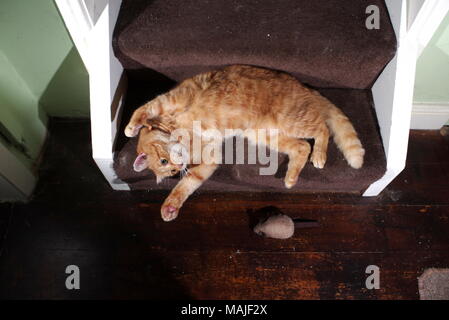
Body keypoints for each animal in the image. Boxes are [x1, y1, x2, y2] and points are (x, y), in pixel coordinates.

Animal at [123, 65, 364, 220]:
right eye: (170, 171)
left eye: (164, 162)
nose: (178, 166)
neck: (185, 138)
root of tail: (305, 87)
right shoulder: (209, 160)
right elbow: (186, 185)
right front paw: (170, 206)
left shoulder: (173, 99)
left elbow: (144, 109)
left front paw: (131, 127)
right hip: (266, 134)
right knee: (302, 146)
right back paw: (290, 179)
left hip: (292, 122)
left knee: (322, 129)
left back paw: (319, 155)